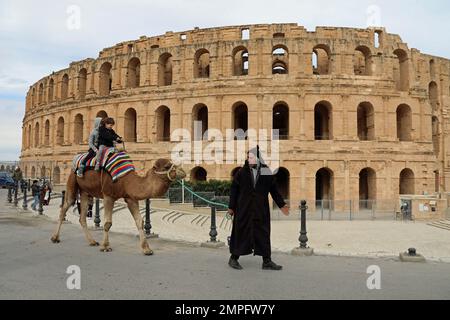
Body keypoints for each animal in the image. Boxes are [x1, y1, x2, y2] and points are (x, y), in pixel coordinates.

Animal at [51, 159, 186, 256]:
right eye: (167, 166)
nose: (183, 171)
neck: (126, 181)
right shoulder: (108, 196)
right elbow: (107, 223)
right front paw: (106, 247)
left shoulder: (130, 198)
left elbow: (139, 222)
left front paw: (147, 249)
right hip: (72, 181)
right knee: (65, 207)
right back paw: (55, 238)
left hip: (85, 192)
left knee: (82, 216)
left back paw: (92, 242)